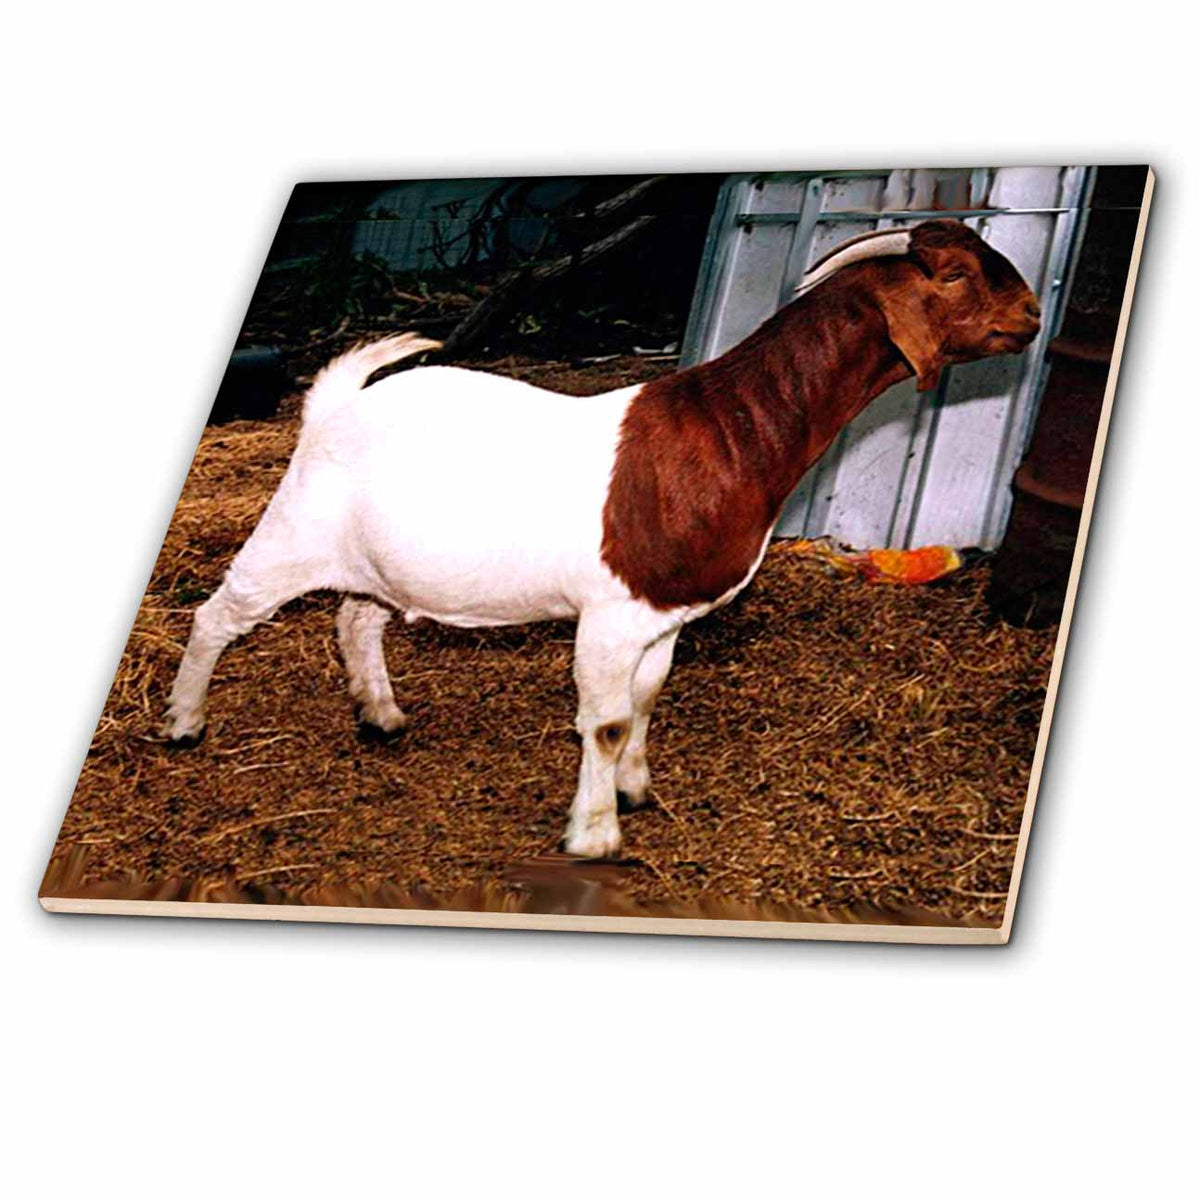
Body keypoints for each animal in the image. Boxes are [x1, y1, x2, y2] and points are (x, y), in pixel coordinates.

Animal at [163, 219, 1041, 857]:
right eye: (955, 274)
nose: (1034, 315)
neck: (735, 432)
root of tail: (336, 402)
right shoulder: (612, 613)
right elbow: (607, 720)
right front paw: (594, 835)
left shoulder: (664, 614)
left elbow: (647, 700)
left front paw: (635, 790)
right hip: (289, 534)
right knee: (217, 616)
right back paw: (183, 722)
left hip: (381, 562)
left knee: (356, 617)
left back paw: (380, 714)